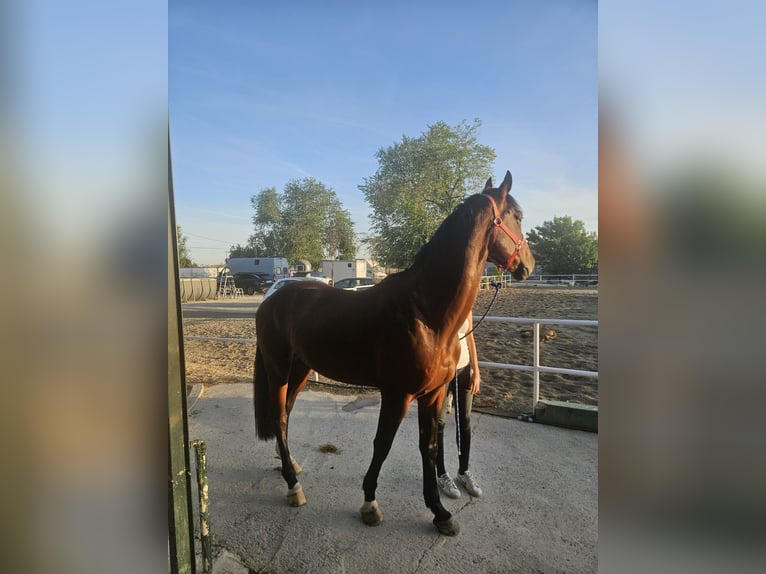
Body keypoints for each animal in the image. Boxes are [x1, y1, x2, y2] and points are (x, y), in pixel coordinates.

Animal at [253, 170, 534, 535]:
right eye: (518, 216)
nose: (529, 265)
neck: (425, 314)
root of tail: (271, 299)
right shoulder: (397, 394)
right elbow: (382, 445)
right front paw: (370, 504)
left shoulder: (433, 394)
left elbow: (429, 447)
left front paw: (440, 513)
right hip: (278, 368)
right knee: (279, 417)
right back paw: (293, 486)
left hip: (299, 370)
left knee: (285, 416)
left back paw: (291, 467)